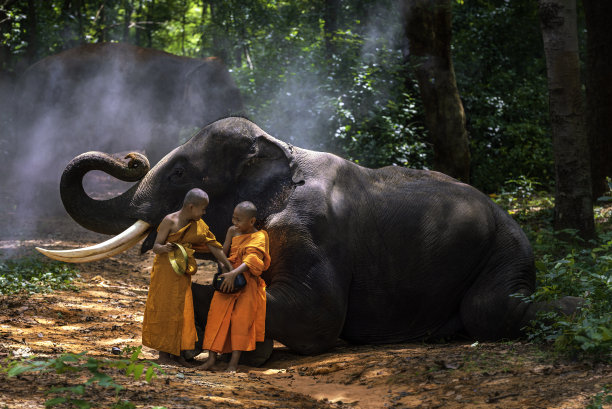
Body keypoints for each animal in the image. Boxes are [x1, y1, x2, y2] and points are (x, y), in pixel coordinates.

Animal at [45, 116, 580, 362]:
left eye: (178, 173)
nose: (131, 157)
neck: (281, 148)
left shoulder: (311, 228)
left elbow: (317, 315)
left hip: (506, 251)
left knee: (490, 311)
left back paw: (569, 309)